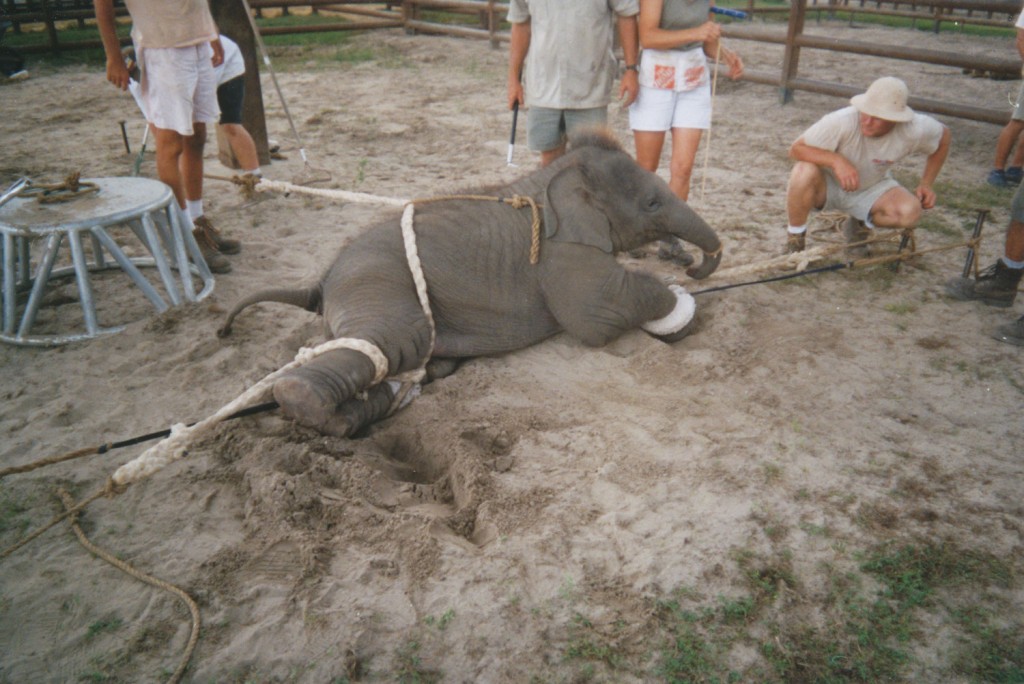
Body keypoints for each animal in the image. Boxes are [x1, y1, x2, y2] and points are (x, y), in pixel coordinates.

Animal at [219, 130, 722, 437]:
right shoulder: (560, 251)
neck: (552, 174)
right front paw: (680, 311)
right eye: (653, 203)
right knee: (386, 341)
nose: (694, 266)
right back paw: (323, 410)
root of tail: (321, 279)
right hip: (377, 284)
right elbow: (596, 316)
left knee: (413, 368)